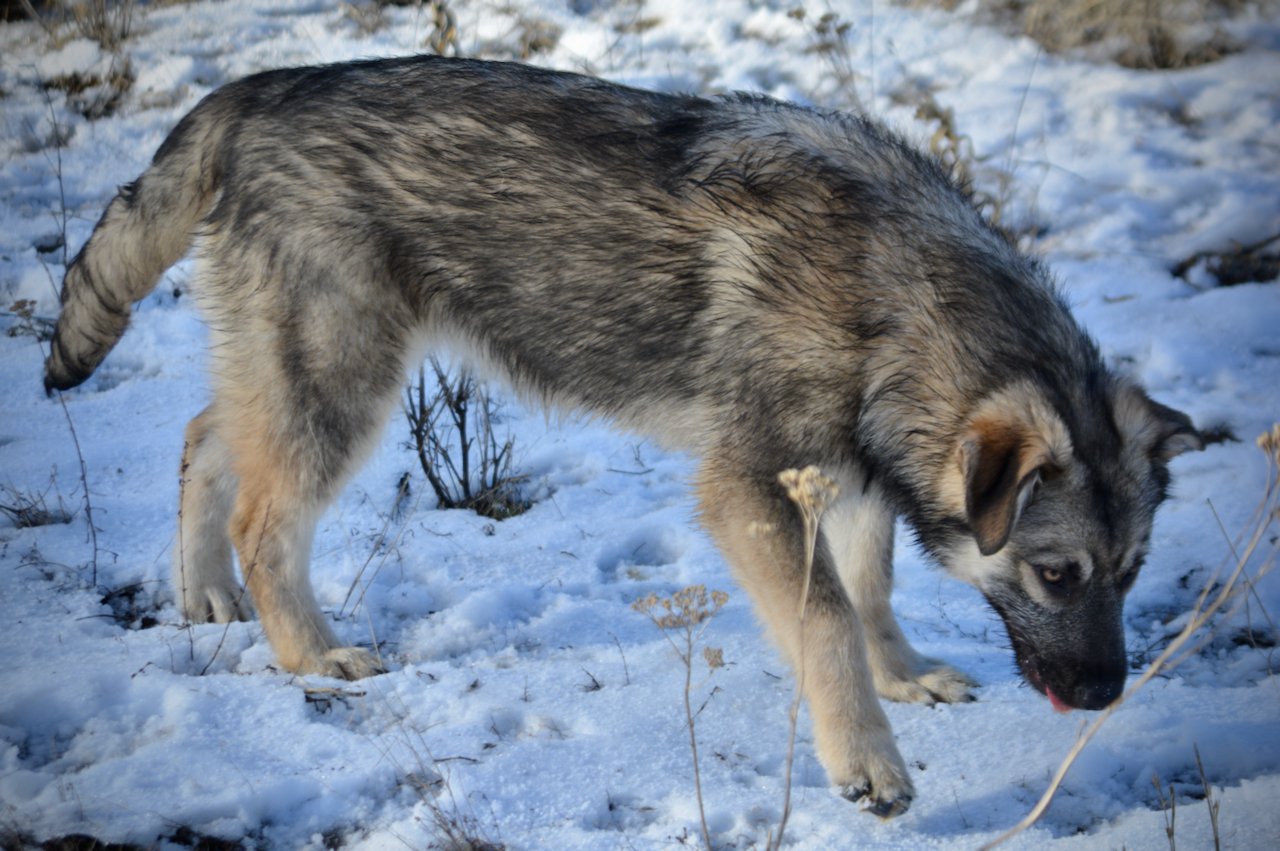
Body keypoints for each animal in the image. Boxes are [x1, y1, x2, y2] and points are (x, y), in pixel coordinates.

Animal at [42, 54, 1198, 819]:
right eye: (1055, 572)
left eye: (1132, 571)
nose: (1105, 694)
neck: (893, 297)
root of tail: (259, 89)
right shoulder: (750, 486)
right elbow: (824, 619)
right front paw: (867, 761)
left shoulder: (850, 474)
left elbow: (866, 593)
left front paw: (903, 671)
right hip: (341, 385)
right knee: (265, 518)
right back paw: (311, 652)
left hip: (291, 376)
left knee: (202, 441)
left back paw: (202, 597)